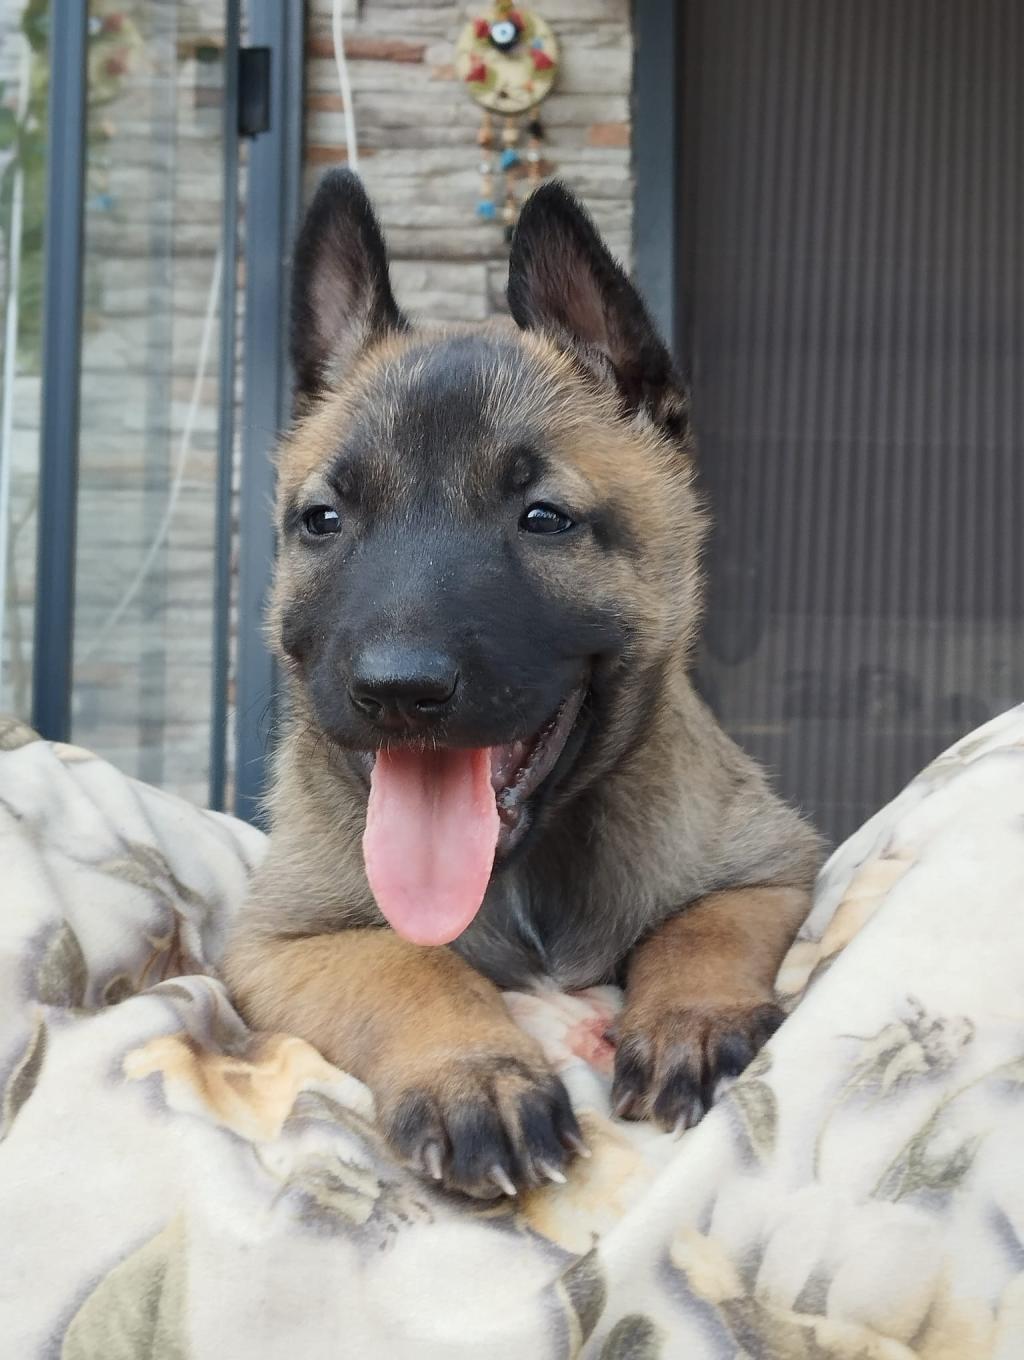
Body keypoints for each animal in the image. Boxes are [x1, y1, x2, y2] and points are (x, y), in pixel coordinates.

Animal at [224, 171, 823, 1199]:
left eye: (544, 519)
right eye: (323, 520)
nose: (399, 691)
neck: (524, 876)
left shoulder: (775, 867)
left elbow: (701, 926)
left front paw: (690, 1019)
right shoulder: (282, 942)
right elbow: (405, 966)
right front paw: (474, 1073)